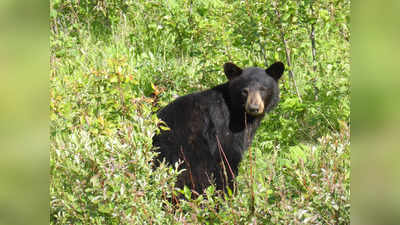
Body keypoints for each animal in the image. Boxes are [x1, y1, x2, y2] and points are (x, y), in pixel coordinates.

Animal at [153, 61, 284, 195]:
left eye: (263, 89)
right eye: (244, 91)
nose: (254, 108)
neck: (238, 113)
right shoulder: (223, 128)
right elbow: (227, 159)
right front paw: (230, 193)